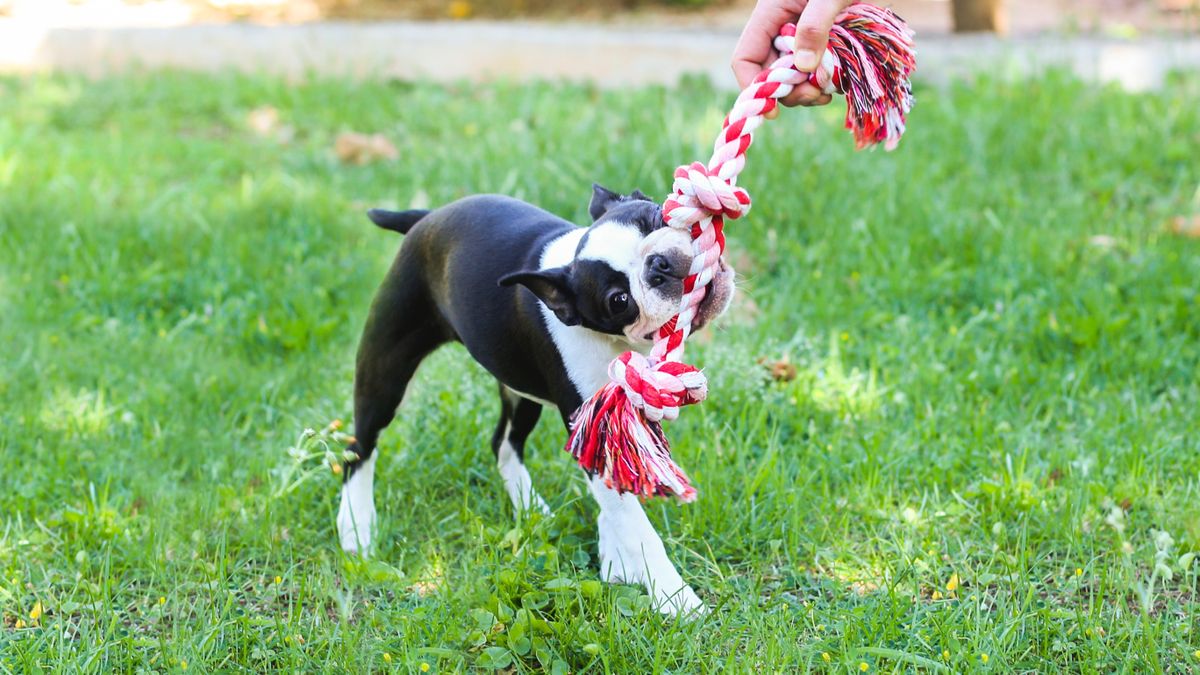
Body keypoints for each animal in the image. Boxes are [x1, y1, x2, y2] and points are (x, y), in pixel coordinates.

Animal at [333, 183, 734, 614]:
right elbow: (636, 527)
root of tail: (425, 217)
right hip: (387, 365)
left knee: (504, 443)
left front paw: (615, 561)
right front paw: (677, 601)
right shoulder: (594, 423)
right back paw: (356, 525)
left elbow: (617, 502)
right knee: (359, 446)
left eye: (655, 217)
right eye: (618, 300)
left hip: (518, 384)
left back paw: (530, 509)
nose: (659, 264)